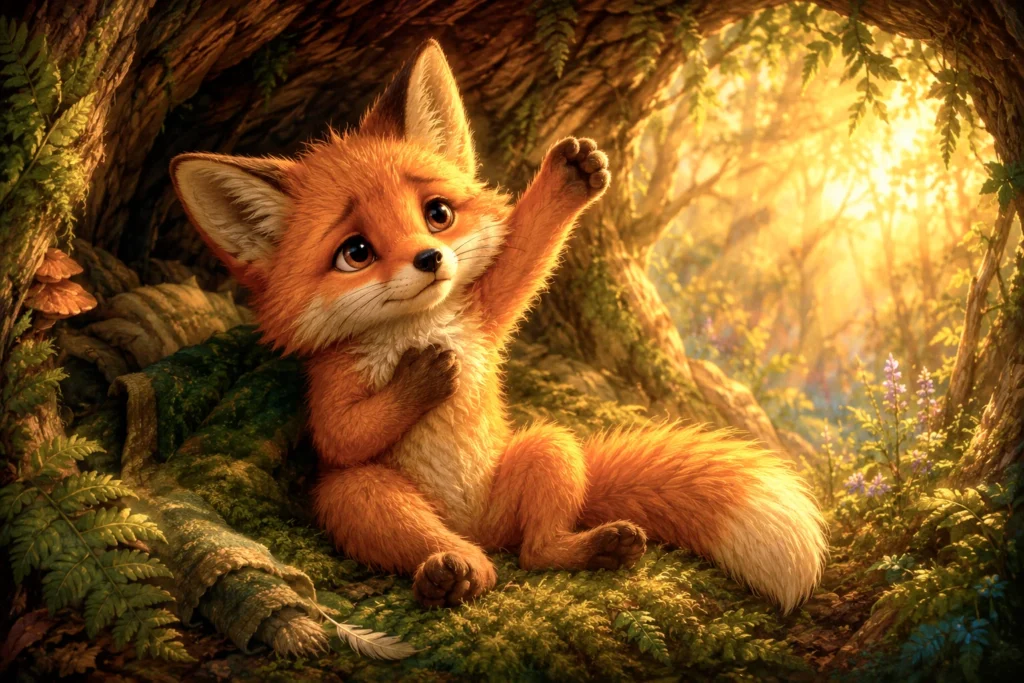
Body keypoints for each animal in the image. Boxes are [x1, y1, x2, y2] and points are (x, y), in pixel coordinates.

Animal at [169, 40, 826, 613]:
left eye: (437, 214)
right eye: (355, 252)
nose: (430, 260)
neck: (420, 325)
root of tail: (471, 522)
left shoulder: (486, 314)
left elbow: (523, 257)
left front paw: (569, 176)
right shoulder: (332, 379)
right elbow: (341, 434)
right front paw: (423, 378)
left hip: (547, 449)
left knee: (536, 551)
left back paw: (589, 547)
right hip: (362, 494)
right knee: (445, 544)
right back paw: (452, 571)